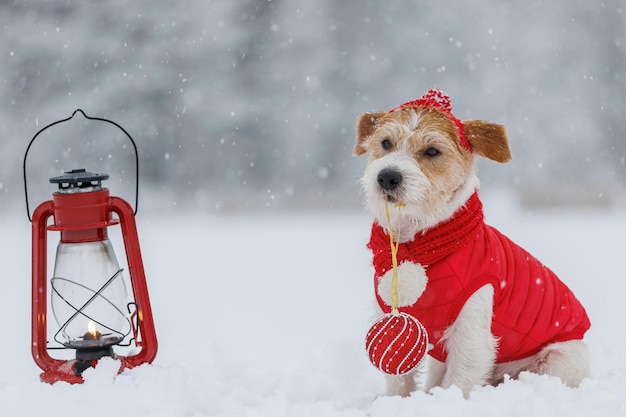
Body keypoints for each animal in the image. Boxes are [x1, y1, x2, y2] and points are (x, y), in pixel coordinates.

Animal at [354, 90, 588, 396]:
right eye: (385, 143)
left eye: (432, 151)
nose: (387, 176)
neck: (418, 243)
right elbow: (399, 380)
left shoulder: (470, 332)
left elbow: (460, 379)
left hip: (558, 360)